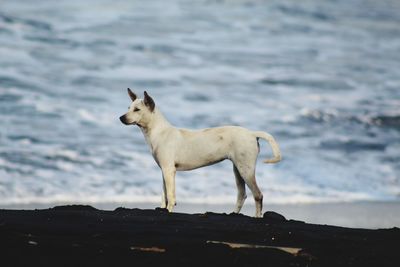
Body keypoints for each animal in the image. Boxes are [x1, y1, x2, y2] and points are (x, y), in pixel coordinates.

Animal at [119, 90, 282, 218]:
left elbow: (170, 196)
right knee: (242, 194)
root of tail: (252, 133)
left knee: (258, 195)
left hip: (246, 169)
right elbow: (164, 194)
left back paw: (257, 217)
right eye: (128, 108)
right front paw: (163, 209)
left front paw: (169, 210)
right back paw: (233, 214)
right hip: (238, 168)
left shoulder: (169, 170)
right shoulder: (164, 171)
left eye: (137, 109)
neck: (159, 131)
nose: (121, 117)